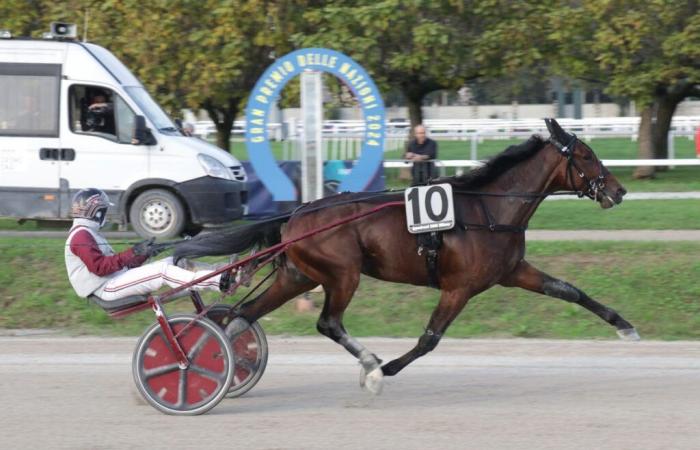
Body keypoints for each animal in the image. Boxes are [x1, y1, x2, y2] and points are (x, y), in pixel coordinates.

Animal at [175, 118, 640, 394]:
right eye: (585, 155)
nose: (618, 191)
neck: (487, 210)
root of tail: (298, 213)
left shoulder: (513, 271)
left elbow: (569, 290)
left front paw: (625, 326)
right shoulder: (459, 287)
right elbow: (429, 338)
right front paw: (385, 370)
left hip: (298, 276)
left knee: (242, 316)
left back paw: (217, 355)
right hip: (342, 274)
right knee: (328, 322)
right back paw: (368, 362)